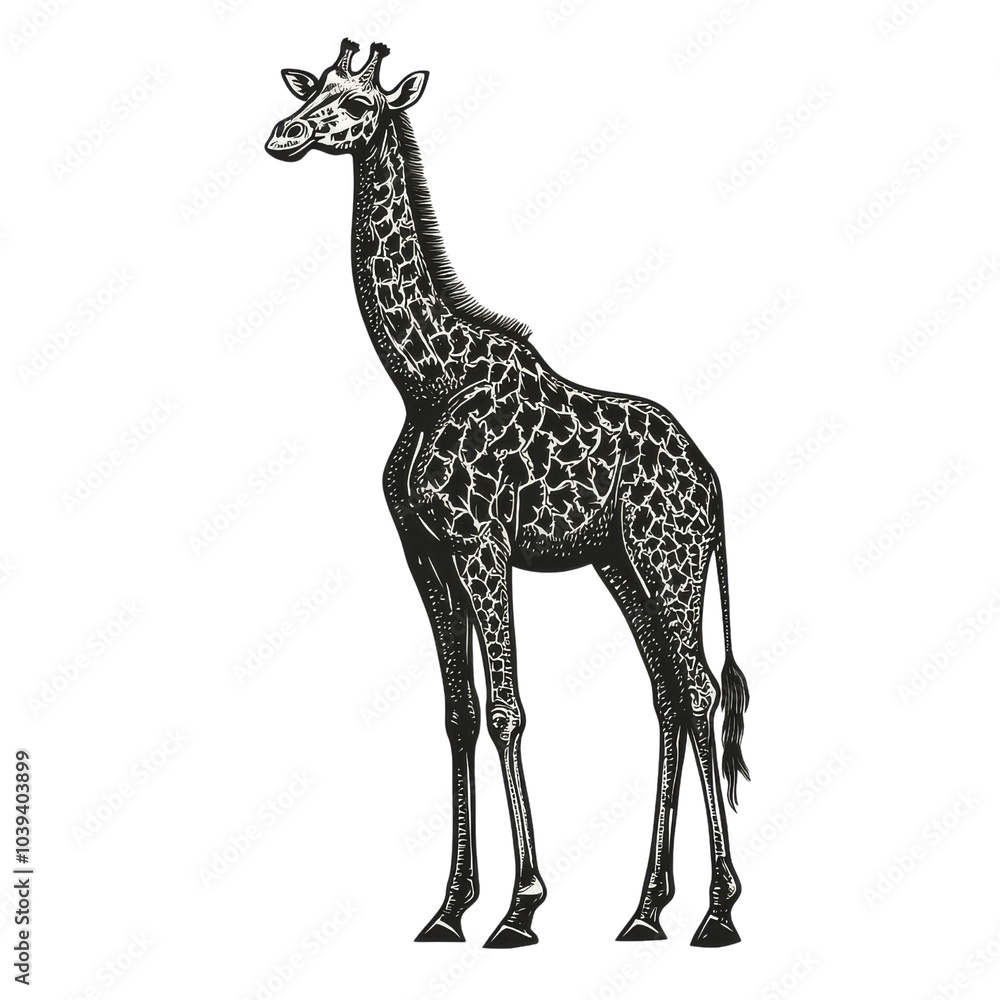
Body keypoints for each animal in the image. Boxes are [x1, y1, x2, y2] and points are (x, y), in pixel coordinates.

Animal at [266, 39, 750, 950]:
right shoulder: (426, 551)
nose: (282, 134)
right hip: (618, 563)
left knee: (701, 690)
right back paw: (646, 909)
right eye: (312, 89)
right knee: (668, 695)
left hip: (670, 560)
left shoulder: (482, 546)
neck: (425, 382)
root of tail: (710, 480)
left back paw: (716, 910)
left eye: (359, 104)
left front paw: (521, 907)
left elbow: (505, 711)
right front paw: (450, 907)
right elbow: (458, 714)